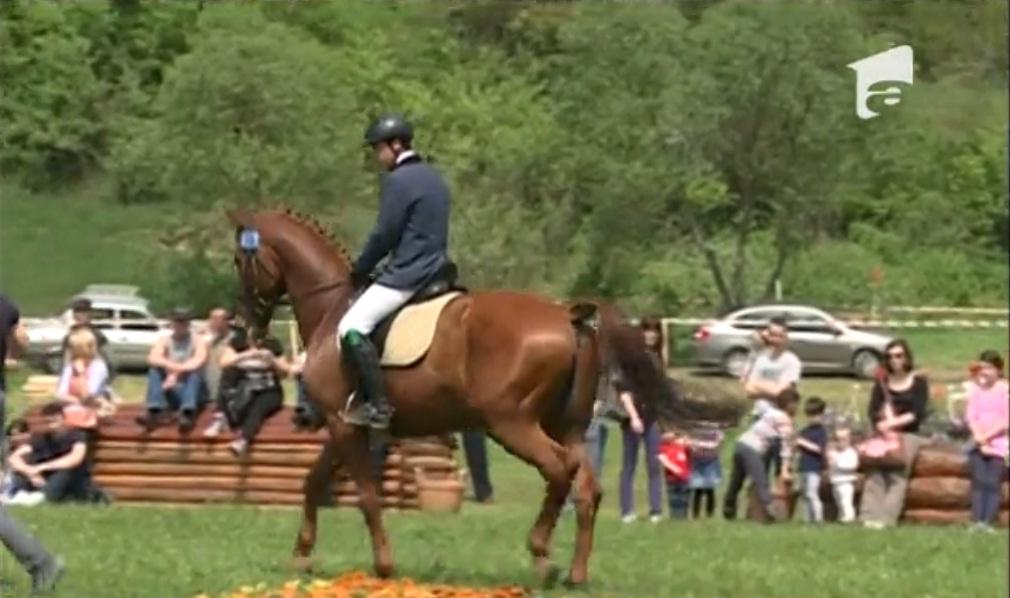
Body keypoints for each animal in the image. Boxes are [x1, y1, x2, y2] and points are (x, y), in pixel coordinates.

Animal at [225, 208, 673, 587]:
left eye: (239, 261)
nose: (244, 328)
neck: (331, 307)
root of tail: (569, 315)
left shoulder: (342, 424)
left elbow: (367, 495)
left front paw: (383, 566)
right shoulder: (344, 425)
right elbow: (313, 482)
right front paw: (301, 556)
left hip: (512, 424)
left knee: (559, 470)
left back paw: (542, 555)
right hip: (568, 425)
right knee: (586, 488)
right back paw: (576, 574)